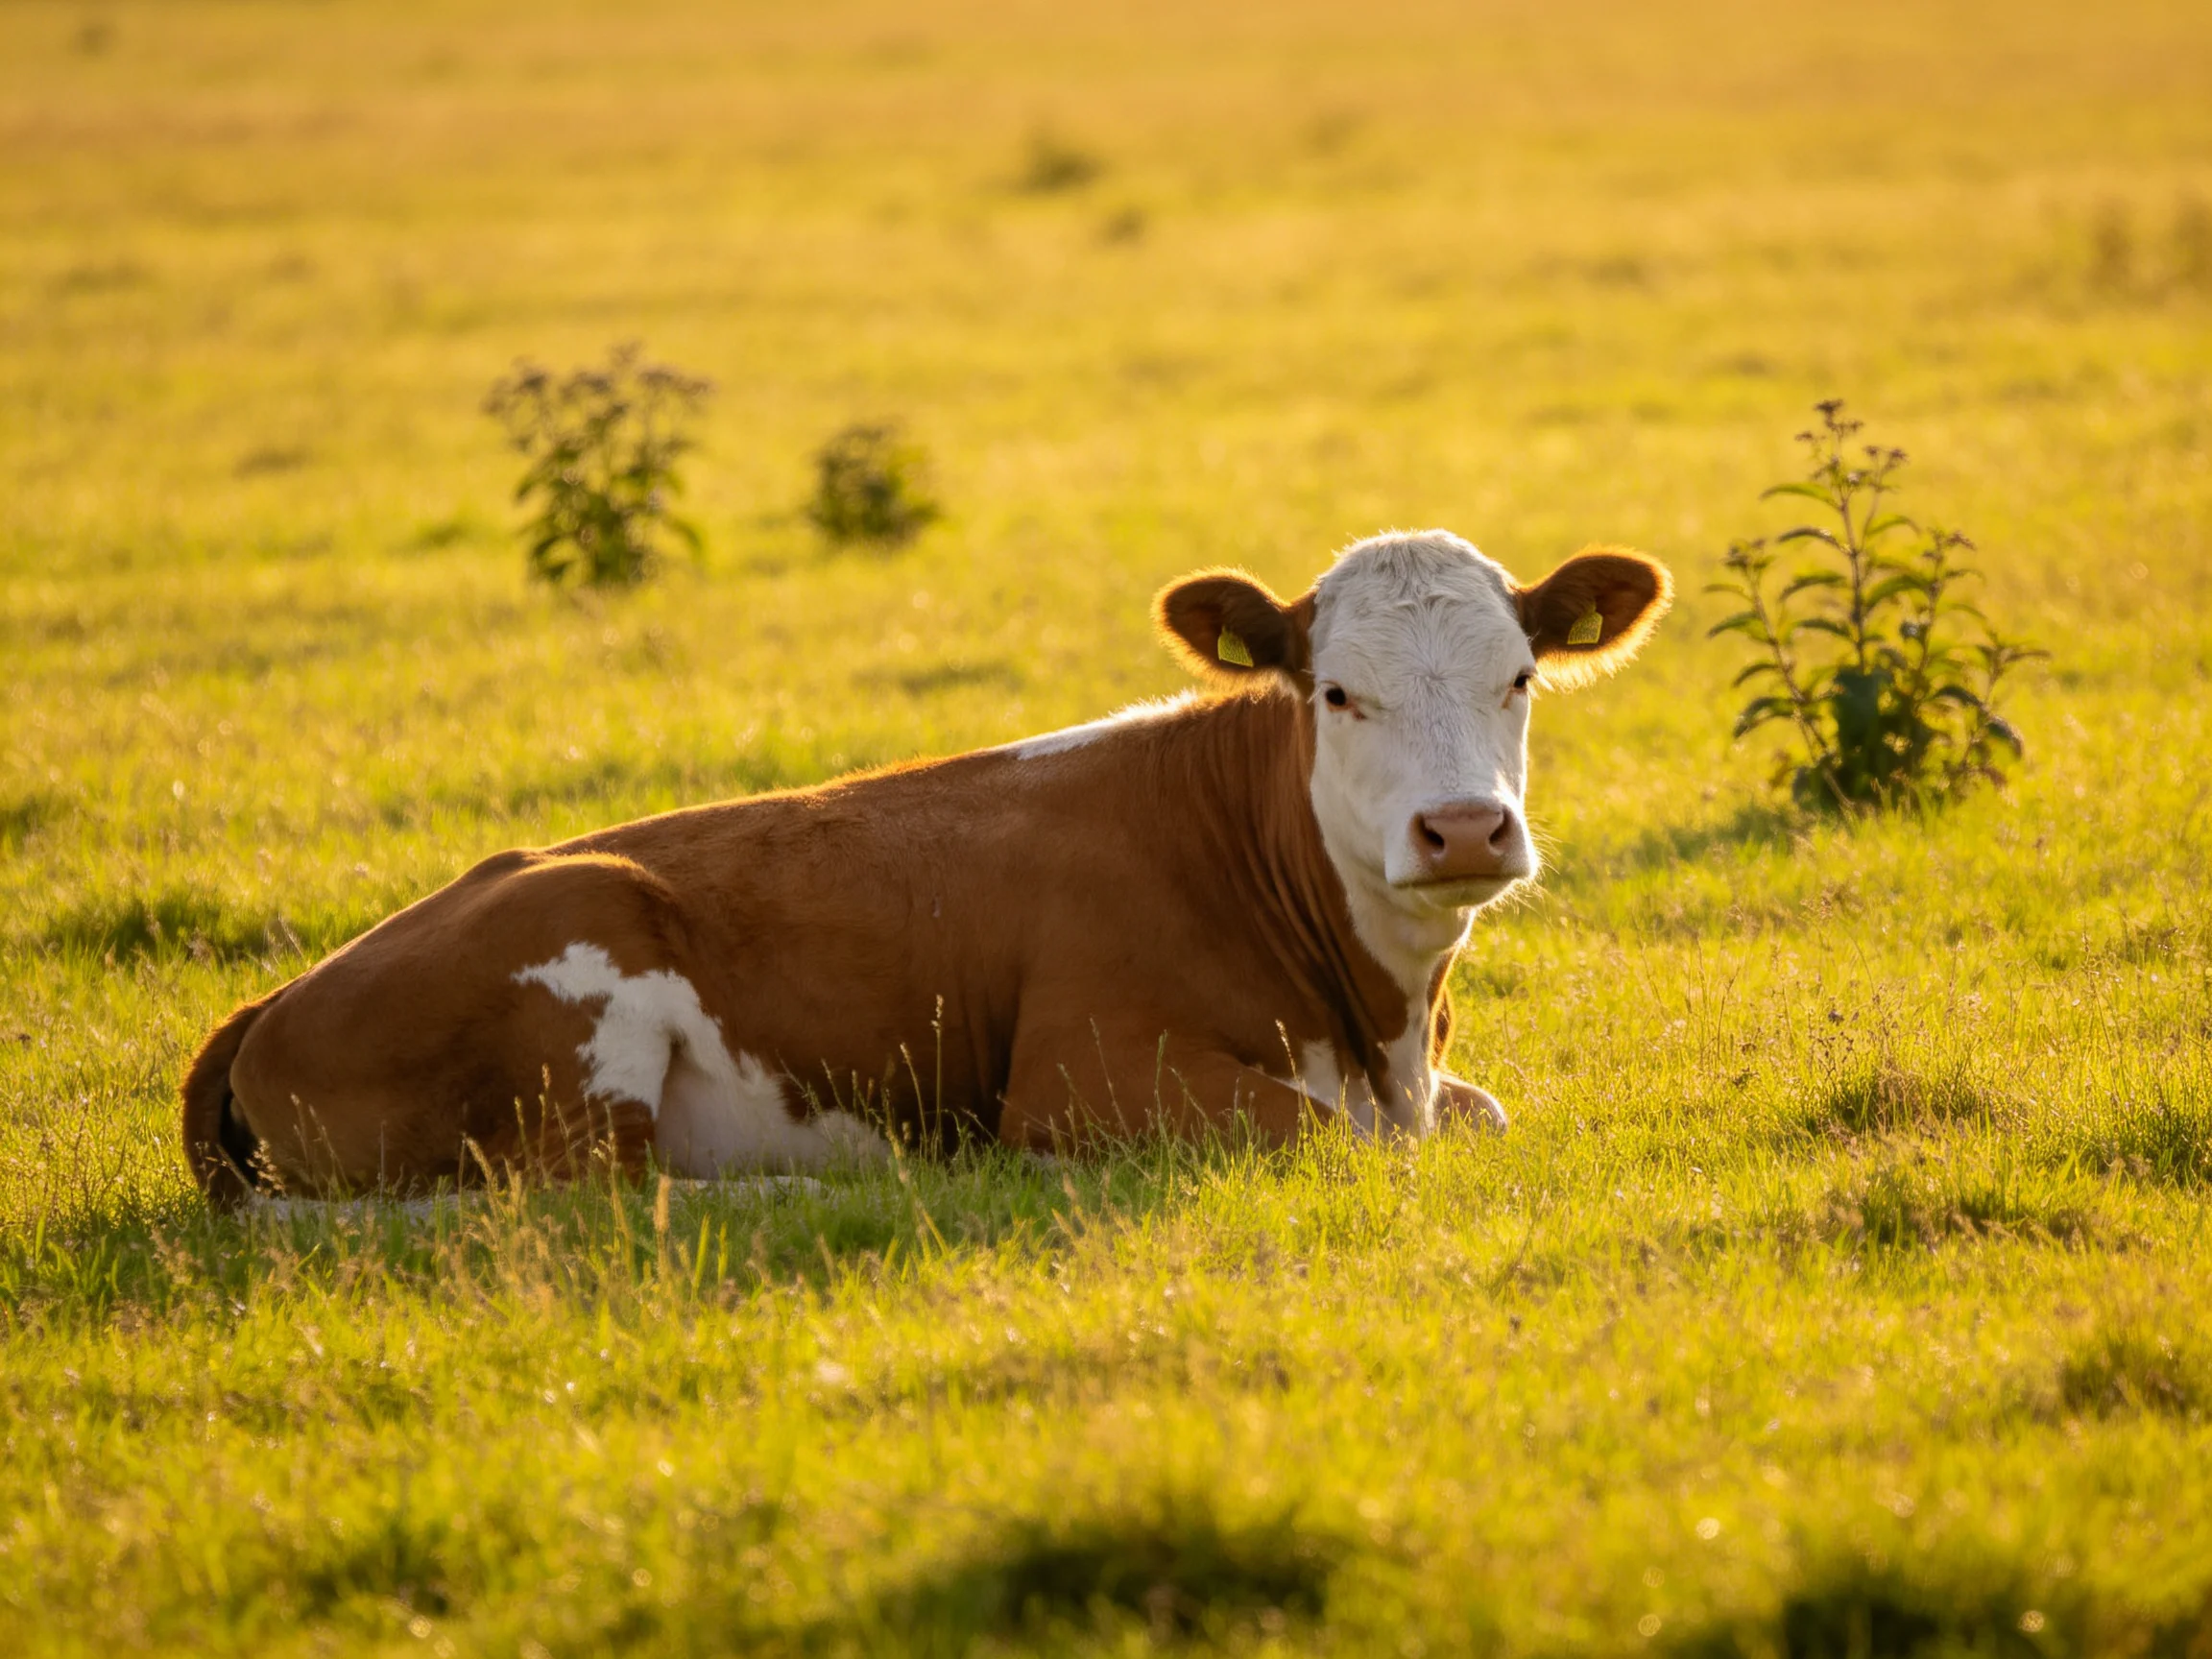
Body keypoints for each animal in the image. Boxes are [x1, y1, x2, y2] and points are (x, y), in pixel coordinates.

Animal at [181, 530, 1670, 1204]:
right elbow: (1318, 1134)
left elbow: (1481, 1116)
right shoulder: (1079, 1076)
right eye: (1338, 694)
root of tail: (275, 1001)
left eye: (1521, 677)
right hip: (582, 969)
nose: (1464, 830)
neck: (1378, 1025)